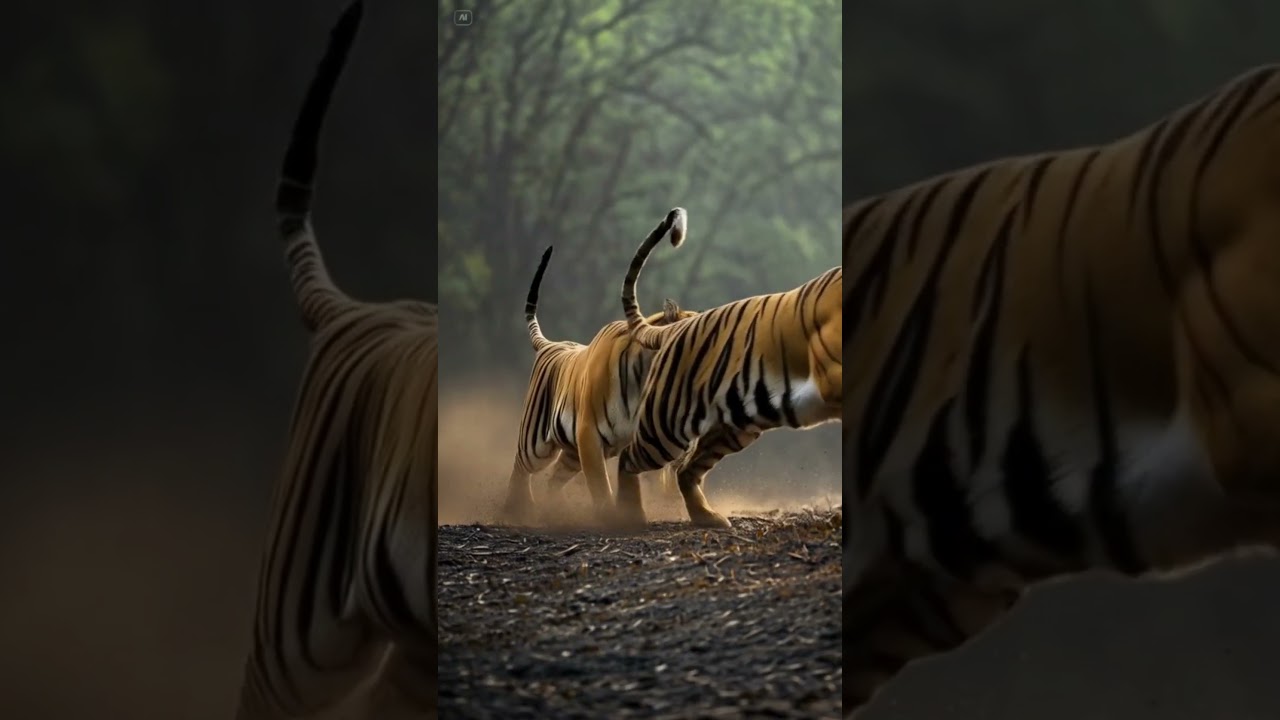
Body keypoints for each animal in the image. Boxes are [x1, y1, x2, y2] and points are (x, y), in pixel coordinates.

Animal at [501, 240, 694, 527]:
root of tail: (550, 344)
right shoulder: (588, 434)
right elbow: (600, 483)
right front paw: (610, 516)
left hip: (570, 454)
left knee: (553, 480)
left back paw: (554, 510)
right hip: (536, 445)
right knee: (520, 468)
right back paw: (516, 510)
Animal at [614, 207, 843, 529]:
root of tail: (675, 327)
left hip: (733, 427)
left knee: (686, 470)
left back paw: (708, 517)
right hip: (664, 427)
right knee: (628, 459)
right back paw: (628, 515)